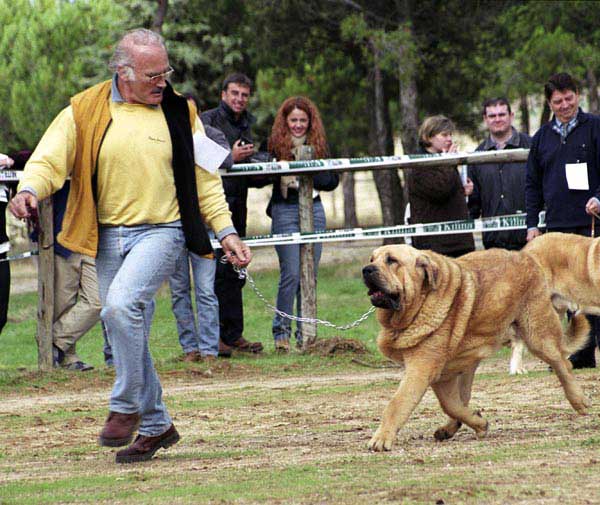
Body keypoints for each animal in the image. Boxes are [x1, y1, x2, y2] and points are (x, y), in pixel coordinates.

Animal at [364, 245, 588, 452]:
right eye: (372, 259)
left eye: (392, 260)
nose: (366, 269)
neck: (421, 301)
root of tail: (524, 255)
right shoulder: (441, 376)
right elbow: (452, 405)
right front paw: (479, 423)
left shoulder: (420, 370)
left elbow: (398, 403)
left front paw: (381, 439)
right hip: (471, 360)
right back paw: (450, 428)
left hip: (538, 336)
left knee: (563, 363)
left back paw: (579, 401)